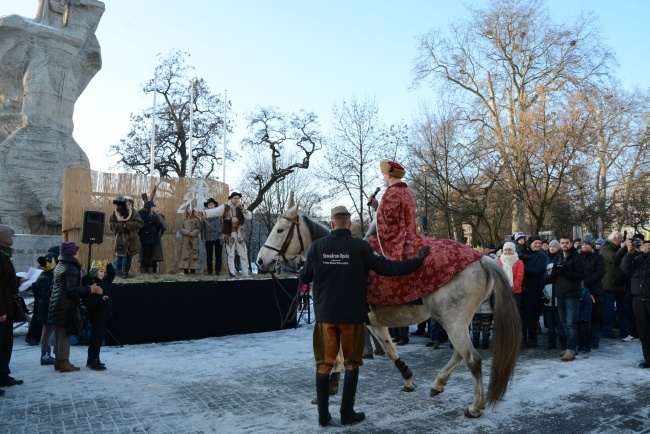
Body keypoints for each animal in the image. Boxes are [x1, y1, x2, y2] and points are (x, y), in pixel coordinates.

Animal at [256, 205, 520, 418]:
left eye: (280, 230)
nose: (260, 261)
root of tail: (482, 259)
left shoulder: (359, 321)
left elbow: (352, 353)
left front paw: (332, 386)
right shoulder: (370, 322)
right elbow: (387, 349)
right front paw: (407, 378)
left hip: (453, 320)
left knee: (472, 359)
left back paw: (475, 407)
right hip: (455, 320)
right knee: (460, 354)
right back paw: (438, 383)